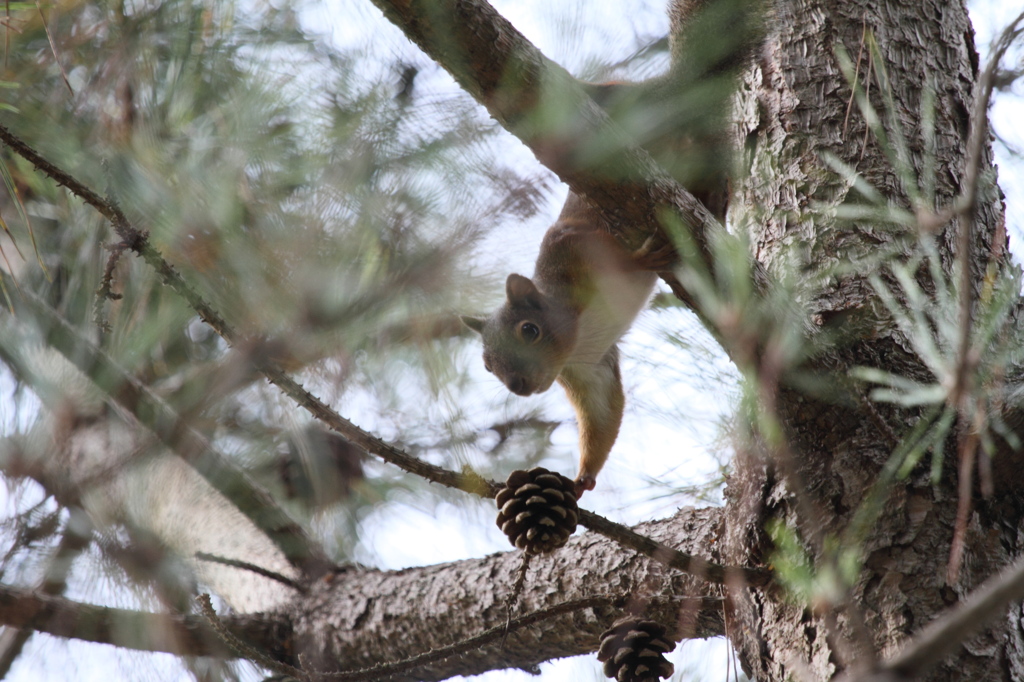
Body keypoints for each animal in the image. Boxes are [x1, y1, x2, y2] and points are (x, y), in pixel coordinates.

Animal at [464, 191, 655, 493]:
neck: (579, 338)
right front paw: (583, 478)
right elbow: (601, 410)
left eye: (530, 330)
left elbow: (625, 259)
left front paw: (644, 256)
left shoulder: (571, 246)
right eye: (487, 366)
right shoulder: (586, 368)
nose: (517, 386)